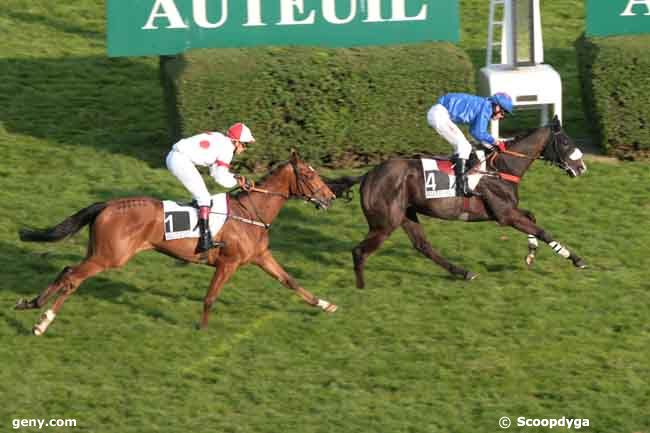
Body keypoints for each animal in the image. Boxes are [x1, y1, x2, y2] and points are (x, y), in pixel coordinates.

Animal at [17, 152, 336, 334]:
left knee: (67, 272)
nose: (330, 196)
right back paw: (42, 321)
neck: (251, 212)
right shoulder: (228, 263)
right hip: (110, 257)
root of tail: (107, 205)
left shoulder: (261, 256)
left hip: (99, 252)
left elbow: (290, 281)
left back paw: (31, 303)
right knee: (73, 277)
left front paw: (325, 304)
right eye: (309, 174)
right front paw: (202, 329)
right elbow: (210, 297)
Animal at [330, 115, 588, 286]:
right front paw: (576, 259)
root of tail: (367, 175)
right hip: (384, 223)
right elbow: (543, 231)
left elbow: (533, 218)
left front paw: (531, 253)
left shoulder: (508, 211)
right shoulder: (505, 215)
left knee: (423, 246)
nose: (582, 167)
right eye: (566, 142)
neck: (501, 167)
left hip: (406, 214)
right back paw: (361, 290)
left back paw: (463, 272)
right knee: (359, 252)